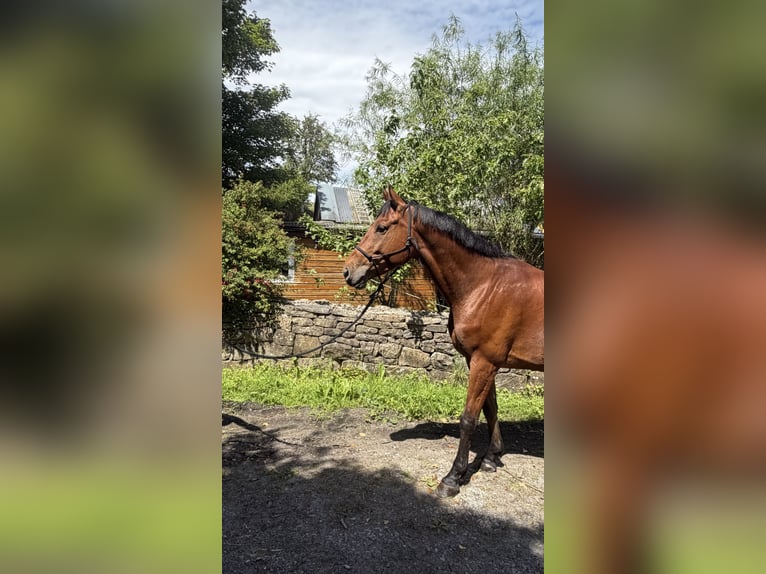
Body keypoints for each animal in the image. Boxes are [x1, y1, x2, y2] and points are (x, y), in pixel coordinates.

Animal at [343, 186, 544, 498]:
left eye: (382, 228)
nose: (349, 271)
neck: (484, 285)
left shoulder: (484, 362)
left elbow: (469, 418)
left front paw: (453, 477)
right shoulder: (482, 361)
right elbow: (491, 408)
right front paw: (491, 457)